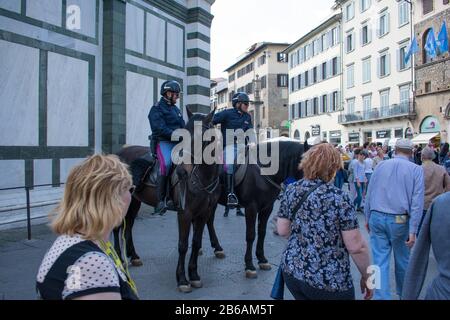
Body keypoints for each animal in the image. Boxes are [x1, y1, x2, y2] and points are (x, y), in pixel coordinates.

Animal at [113, 109, 224, 292]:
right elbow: (183, 245)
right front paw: (182, 279)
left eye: (202, 138)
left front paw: (194, 275)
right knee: (117, 228)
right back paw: (120, 260)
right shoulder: (185, 213)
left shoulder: (203, 213)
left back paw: (133, 256)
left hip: (135, 201)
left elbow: (196, 242)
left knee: (129, 225)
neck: (202, 177)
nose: (181, 171)